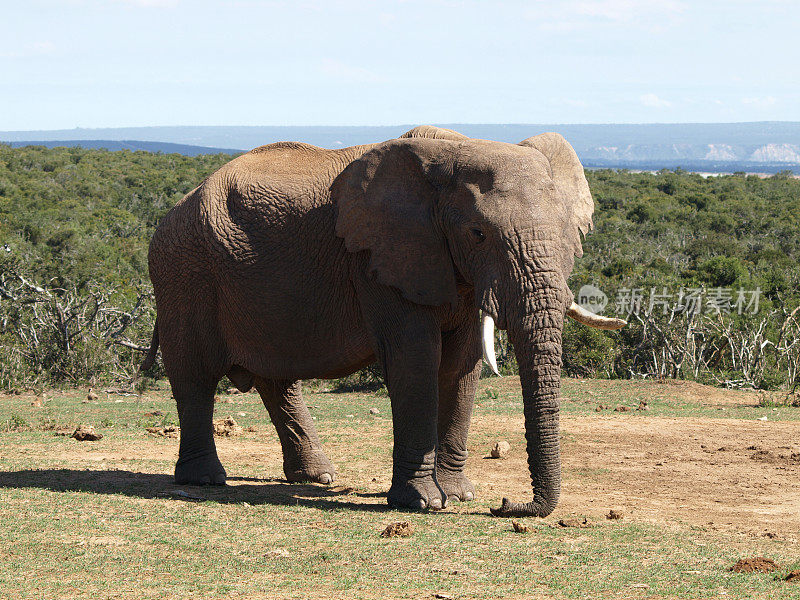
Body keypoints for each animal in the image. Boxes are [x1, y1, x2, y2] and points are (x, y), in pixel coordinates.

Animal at [141, 125, 620, 516]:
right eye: (478, 234)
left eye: (566, 234)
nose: (506, 504)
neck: (457, 151)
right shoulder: (378, 259)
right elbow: (416, 360)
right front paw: (423, 502)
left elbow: (461, 366)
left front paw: (459, 495)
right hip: (182, 272)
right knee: (195, 376)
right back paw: (205, 479)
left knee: (278, 380)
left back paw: (318, 477)